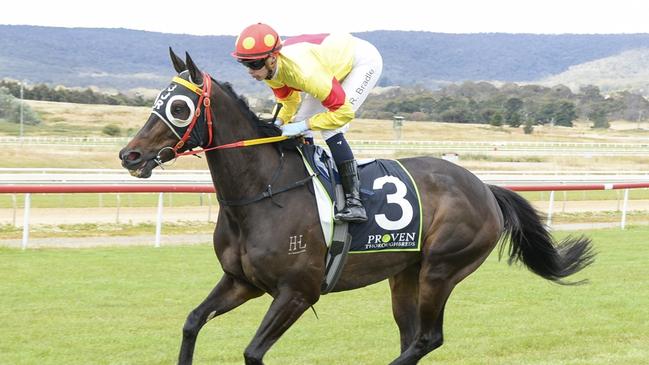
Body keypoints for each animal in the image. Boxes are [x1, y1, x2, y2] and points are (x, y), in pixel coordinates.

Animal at [116, 49, 592, 364]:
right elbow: (192, 322)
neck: (263, 192)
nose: (130, 155)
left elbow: (252, 352)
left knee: (427, 339)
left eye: (179, 106)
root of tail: (484, 187)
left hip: (442, 269)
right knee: (412, 337)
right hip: (405, 274)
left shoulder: (297, 292)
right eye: (156, 100)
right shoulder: (241, 281)